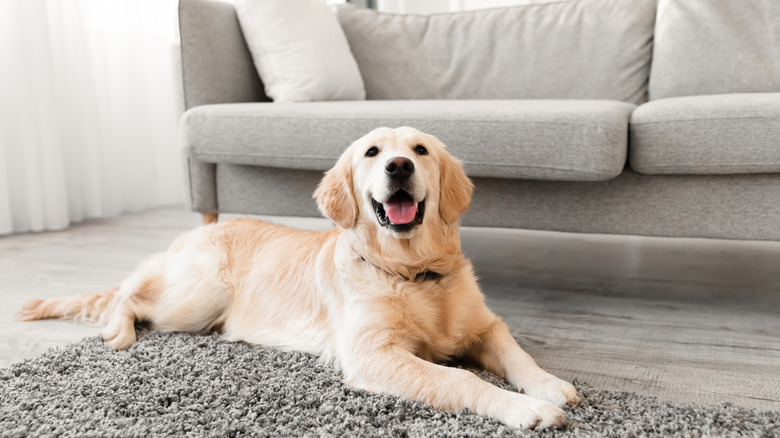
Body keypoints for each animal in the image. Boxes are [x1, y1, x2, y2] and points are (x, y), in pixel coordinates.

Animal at [16, 126, 580, 428]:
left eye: (420, 150)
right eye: (373, 153)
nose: (399, 166)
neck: (412, 271)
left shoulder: (484, 326)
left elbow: (516, 354)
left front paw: (551, 385)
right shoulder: (372, 354)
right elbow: (459, 377)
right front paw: (525, 408)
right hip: (198, 296)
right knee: (129, 295)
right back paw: (118, 332)